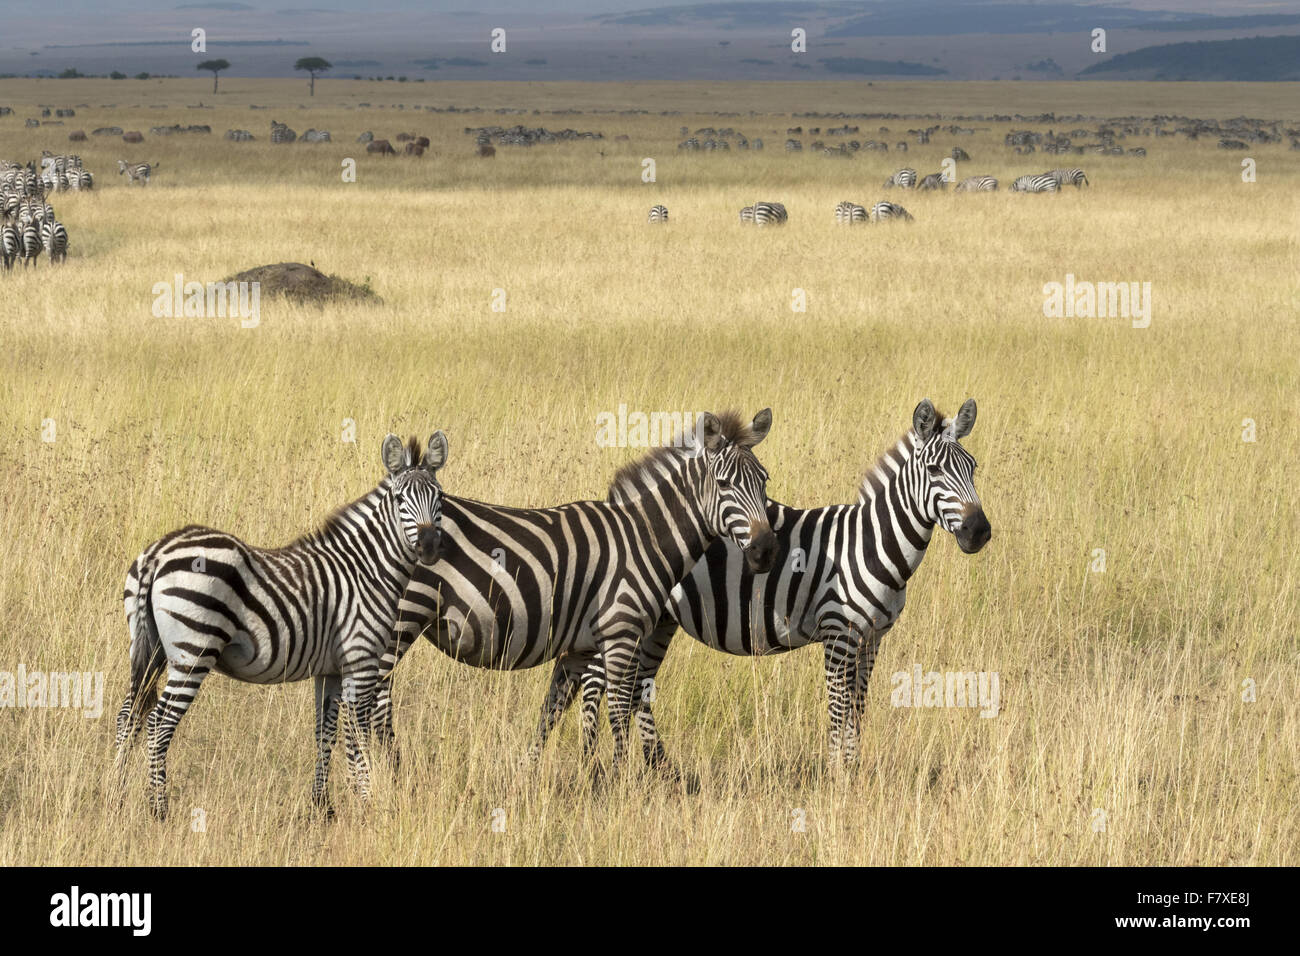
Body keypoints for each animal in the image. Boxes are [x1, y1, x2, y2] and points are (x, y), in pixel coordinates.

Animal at [114, 432, 449, 820]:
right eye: (400, 500)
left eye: (439, 499)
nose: (429, 546)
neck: (367, 569)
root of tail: (158, 553)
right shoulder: (361, 662)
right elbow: (356, 734)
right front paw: (367, 801)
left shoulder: (330, 671)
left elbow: (325, 732)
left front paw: (322, 807)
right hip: (193, 651)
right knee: (158, 723)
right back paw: (159, 809)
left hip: (150, 648)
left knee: (128, 717)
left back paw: (115, 796)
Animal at [370, 410, 779, 777]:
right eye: (724, 484)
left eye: (764, 481)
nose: (766, 551)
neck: (641, 539)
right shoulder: (620, 632)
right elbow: (619, 707)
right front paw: (618, 781)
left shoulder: (580, 646)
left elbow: (554, 709)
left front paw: (541, 776)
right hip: (402, 618)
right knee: (373, 694)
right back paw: (390, 772)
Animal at [533, 399, 990, 766]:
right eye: (934, 470)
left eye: (973, 468)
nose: (979, 532)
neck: (871, 544)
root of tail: (621, 507)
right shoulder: (838, 634)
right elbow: (838, 708)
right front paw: (838, 774)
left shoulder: (872, 638)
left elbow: (858, 709)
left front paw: (853, 769)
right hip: (624, 617)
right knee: (596, 684)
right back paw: (594, 760)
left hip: (659, 621)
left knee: (634, 690)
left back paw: (659, 767)